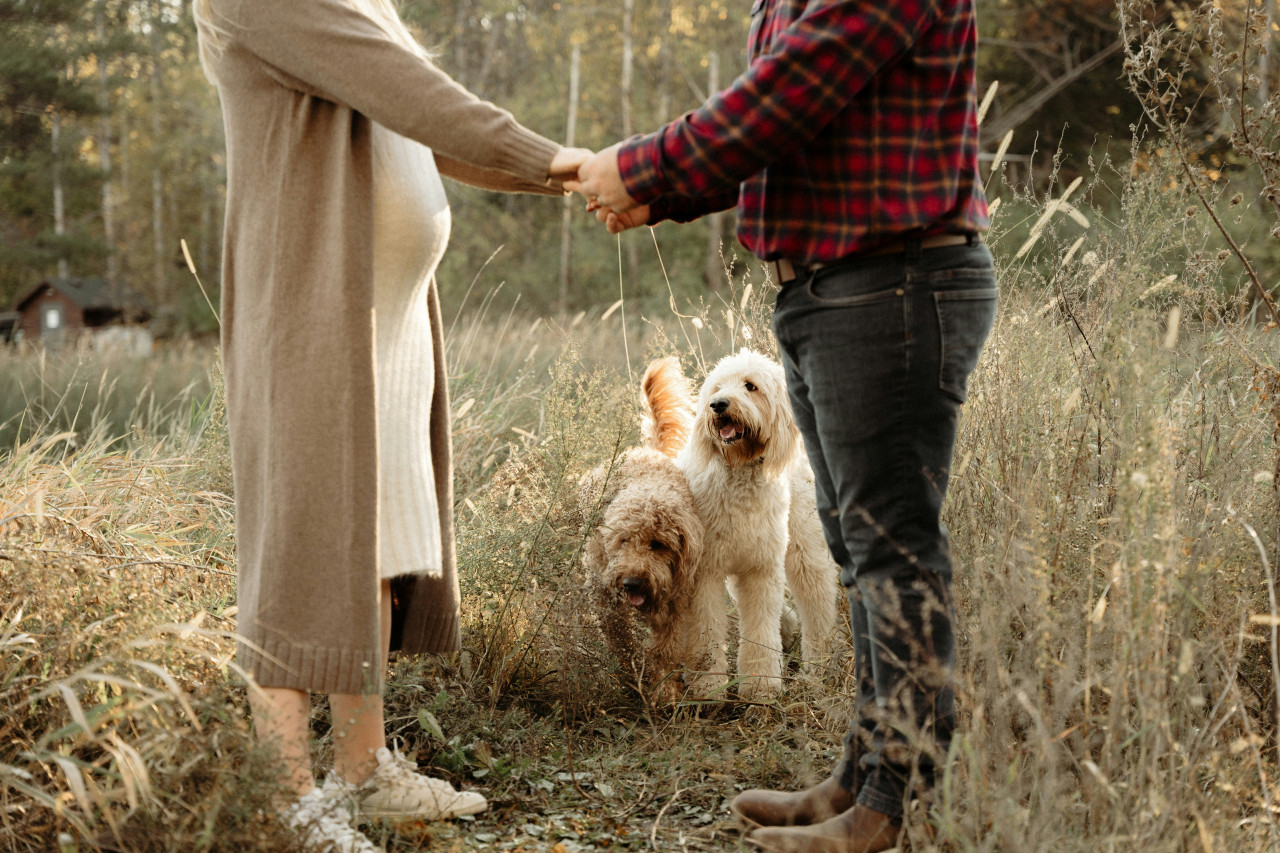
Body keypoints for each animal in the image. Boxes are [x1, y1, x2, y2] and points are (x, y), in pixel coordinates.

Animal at [583, 356, 706, 696]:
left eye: (658, 545)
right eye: (623, 541)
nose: (631, 583)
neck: (650, 486)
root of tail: (647, 451)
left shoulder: (676, 601)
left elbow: (665, 649)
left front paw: (665, 691)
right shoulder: (606, 599)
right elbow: (622, 642)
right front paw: (632, 678)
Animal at [675, 348, 844, 696]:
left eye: (750, 386)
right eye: (717, 388)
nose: (718, 405)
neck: (738, 474)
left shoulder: (761, 569)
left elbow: (761, 630)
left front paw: (761, 685)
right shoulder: (705, 574)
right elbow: (705, 630)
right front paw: (707, 687)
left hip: (805, 551)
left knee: (818, 605)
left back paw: (818, 664)